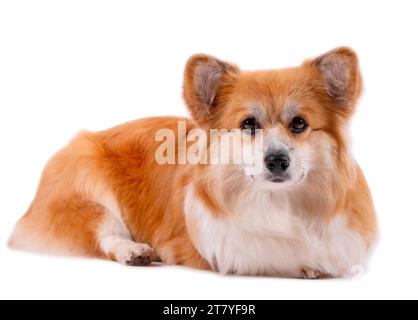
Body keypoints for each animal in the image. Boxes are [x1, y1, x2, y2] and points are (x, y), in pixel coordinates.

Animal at [9, 47, 376, 278]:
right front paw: (304, 263)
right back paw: (134, 251)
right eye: (248, 124)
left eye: (299, 123)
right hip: (87, 195)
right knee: (103, 231)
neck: (277, 204)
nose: (276, 160)